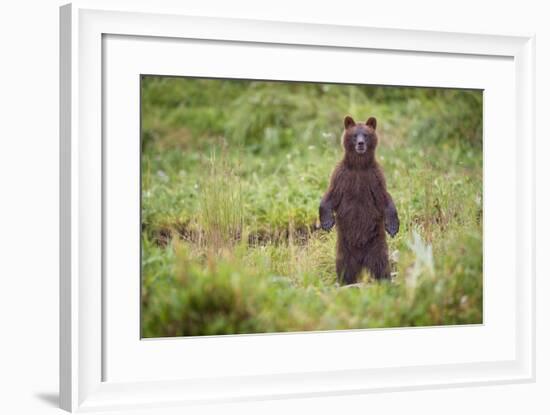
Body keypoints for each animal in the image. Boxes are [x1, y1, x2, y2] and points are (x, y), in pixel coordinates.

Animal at [320, 115, 402, 284]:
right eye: (354, 135)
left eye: (366, 134)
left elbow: (385, 199)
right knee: (344, 267)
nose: (360, 143)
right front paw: (327, 222)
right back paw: (345, 282)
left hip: (376, 244)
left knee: (381, 265)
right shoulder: (342, 176)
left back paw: (385, 280)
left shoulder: (374, 178)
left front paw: (392, 226)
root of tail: (362, 260)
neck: (358, 166)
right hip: (344, 248)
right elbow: (330, 196)